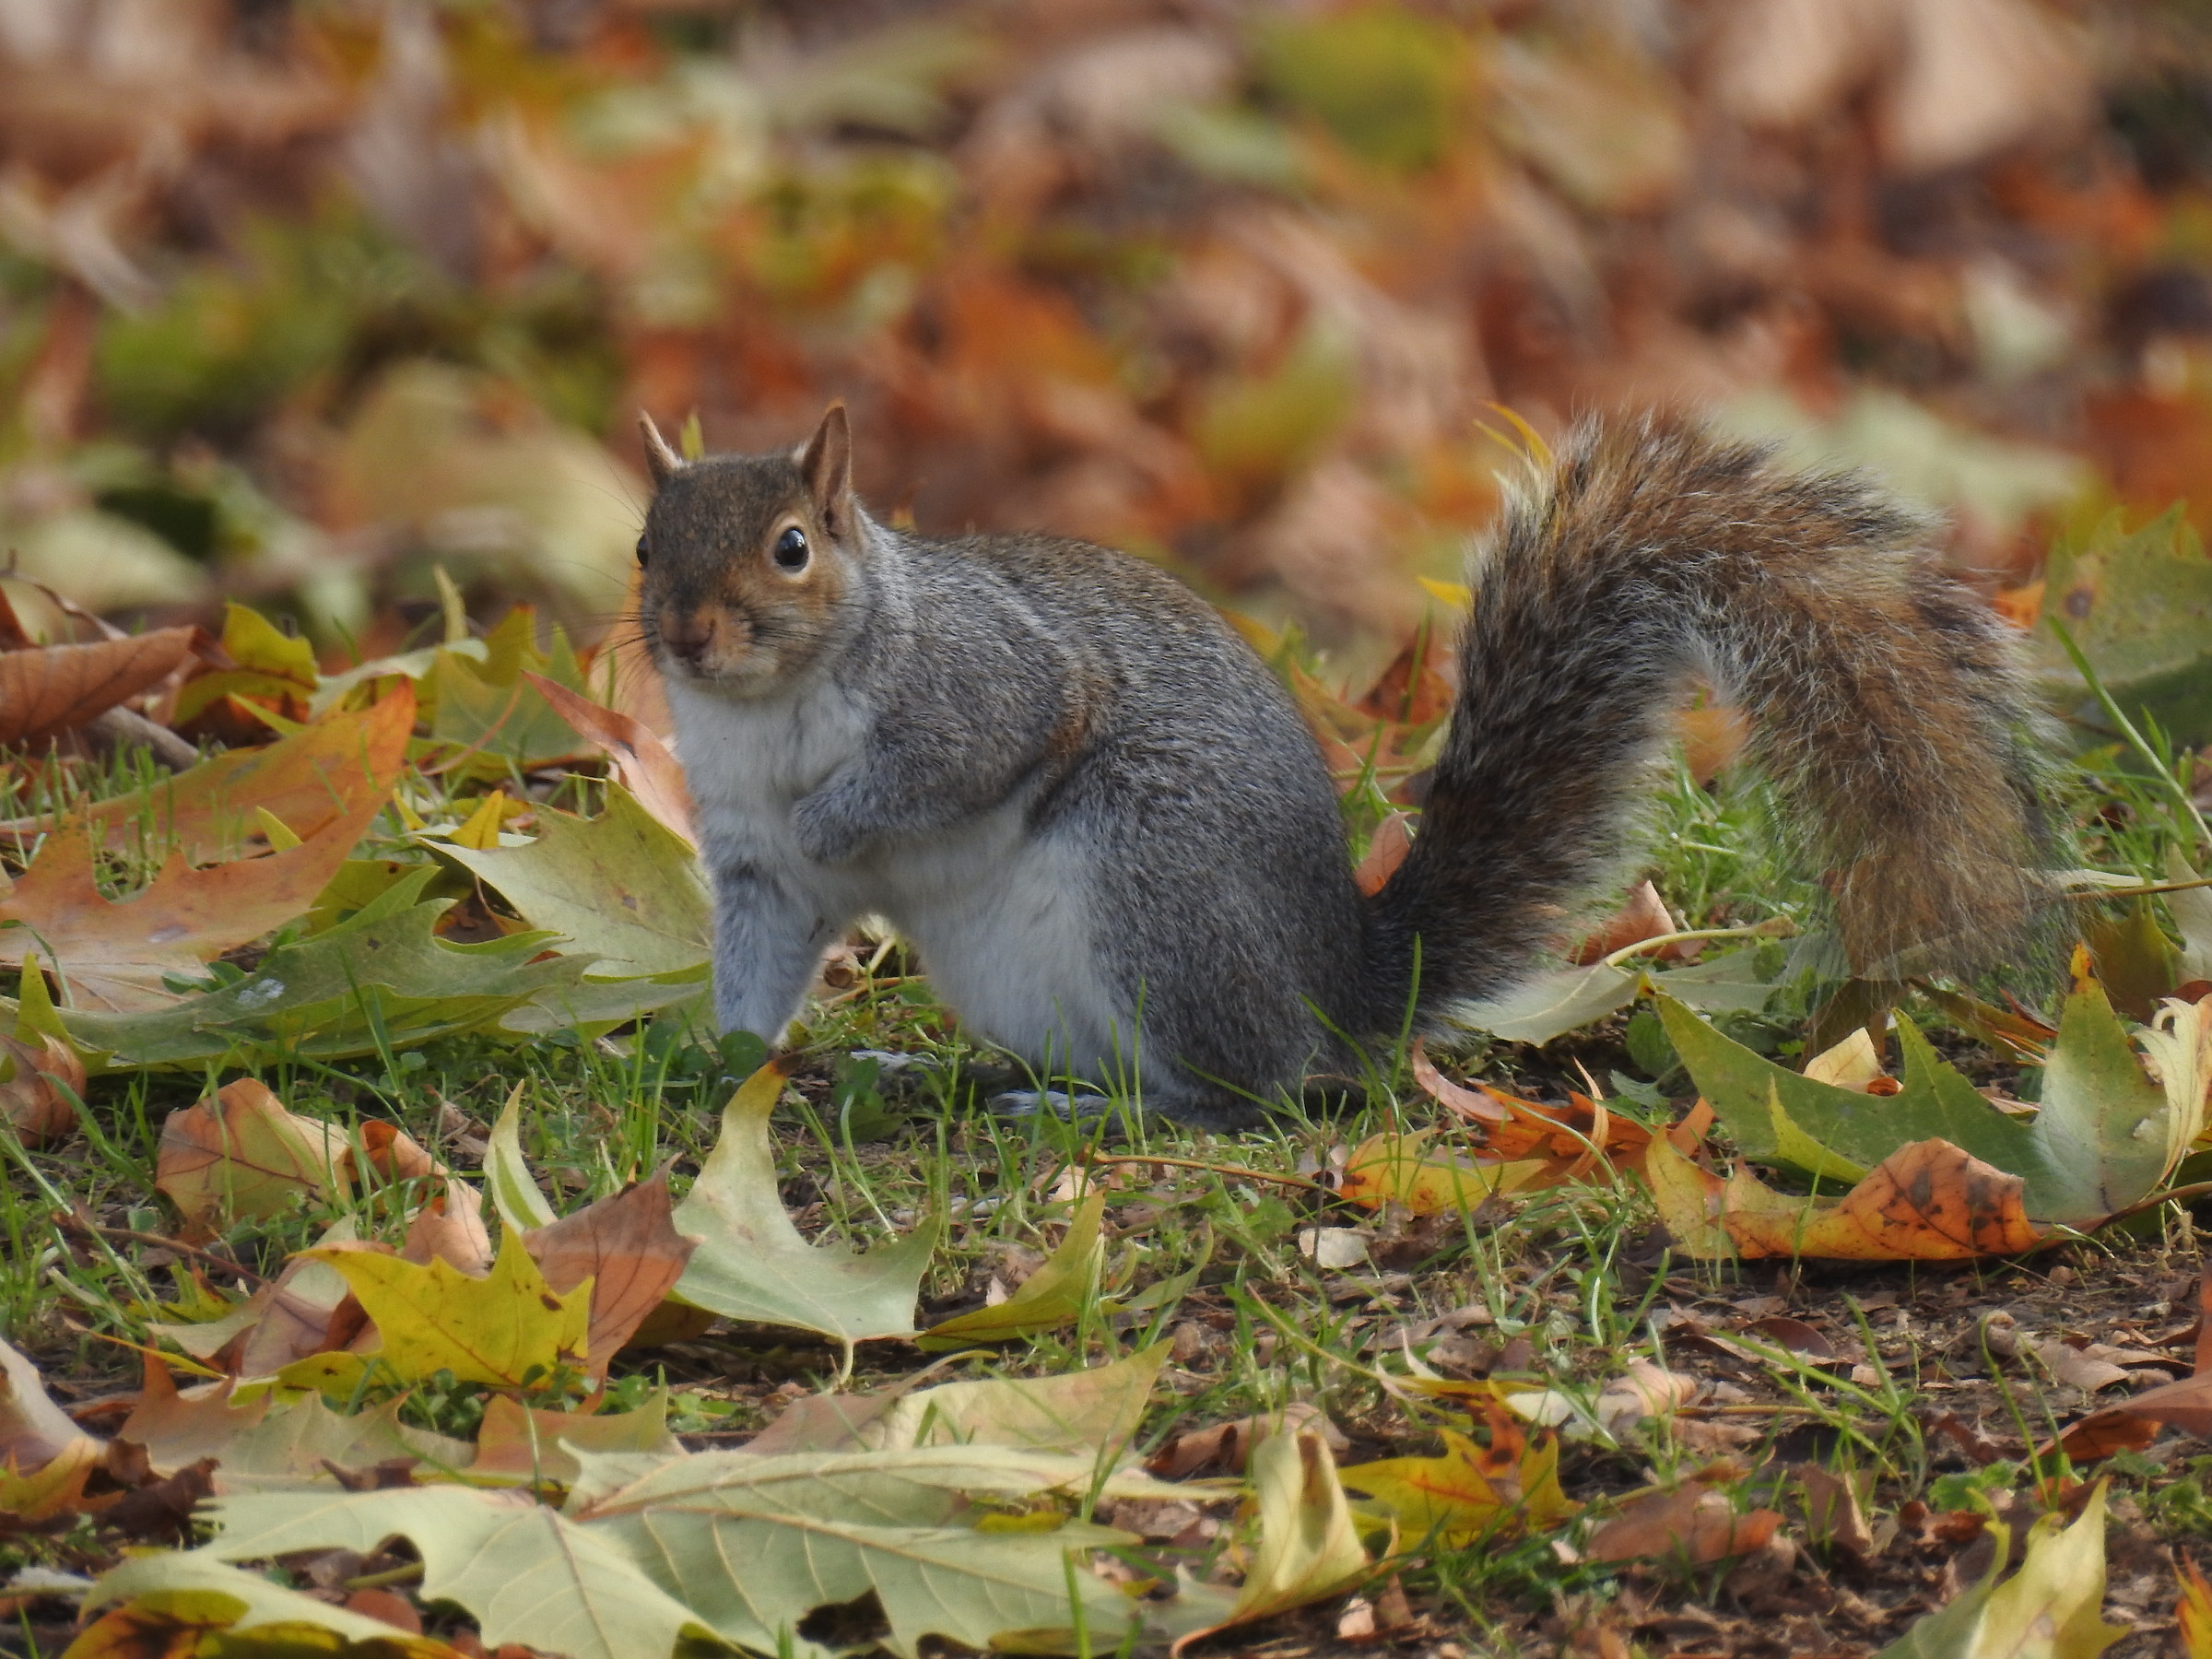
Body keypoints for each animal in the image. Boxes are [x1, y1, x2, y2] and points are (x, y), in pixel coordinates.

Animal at [633, 404, 2052, 1130]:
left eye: (793, 548)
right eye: (647, 545)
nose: (687, 636)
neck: (772, 709)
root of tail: (1336, 981)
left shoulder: (985, 684)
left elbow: (970, 753)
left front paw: (846, 815)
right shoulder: (750, 864)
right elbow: (760, 958)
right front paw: (722, 1060)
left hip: (1155, 887)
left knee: (1244, 1091)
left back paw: (1110, 1113)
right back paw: (948, 1076)